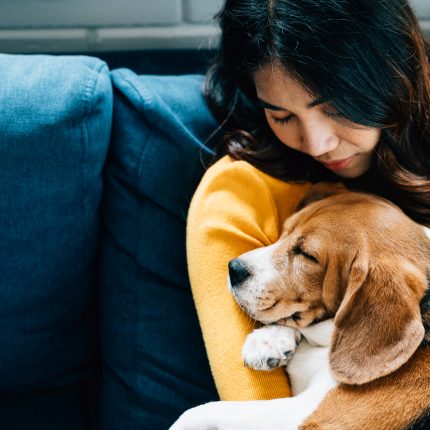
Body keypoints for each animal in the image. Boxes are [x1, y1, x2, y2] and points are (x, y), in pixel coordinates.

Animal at [170, 183, 430, 428]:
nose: (234, 268)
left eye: (307, 255)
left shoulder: (309, 418)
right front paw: (268, 340)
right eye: (285, 231)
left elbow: (199, 412)